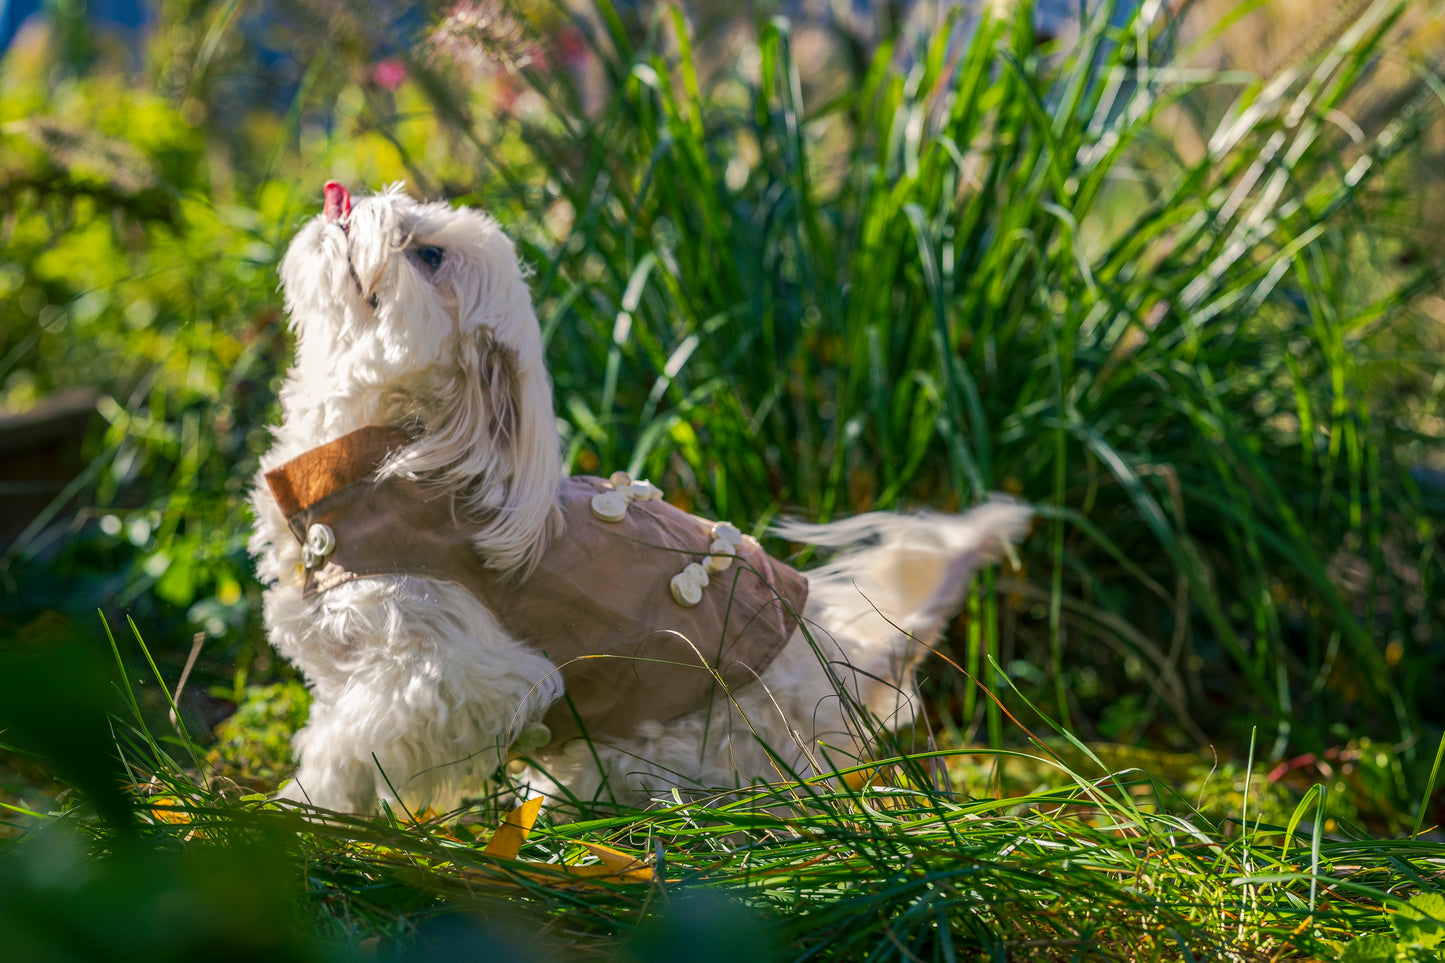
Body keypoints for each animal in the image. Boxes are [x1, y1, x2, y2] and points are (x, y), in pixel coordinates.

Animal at [254, 180, 1034, 809]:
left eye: (430, 255)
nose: (349, 197)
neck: (382, 454)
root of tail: (849, 669)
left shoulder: (449, 675)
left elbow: (344, 749)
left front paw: (300, 812)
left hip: (667, 756)